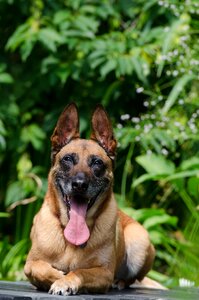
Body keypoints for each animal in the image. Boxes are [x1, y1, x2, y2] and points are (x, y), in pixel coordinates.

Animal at [24, 103, 156, 296]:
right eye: (67, 159)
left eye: (97, 163)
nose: (79, 185)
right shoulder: (30, 264)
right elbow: (40, 269)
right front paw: (58, 277)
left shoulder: (103, 273)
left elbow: (80, 272)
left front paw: (65, 281)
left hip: (140, 241)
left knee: (132, 279)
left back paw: (119, 282)